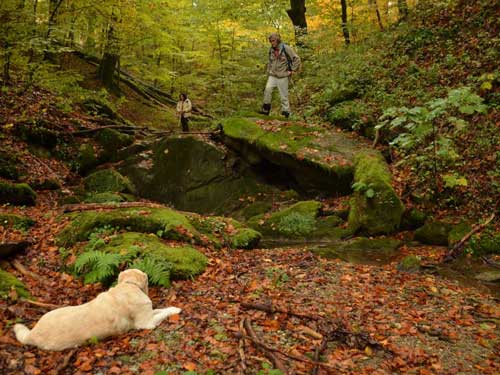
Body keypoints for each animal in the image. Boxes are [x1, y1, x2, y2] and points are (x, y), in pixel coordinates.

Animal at [12, 268, 182, 352]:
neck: (129, 284)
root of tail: (32, 334)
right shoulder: (146, 323)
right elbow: (162, 312)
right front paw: (176, 309)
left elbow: (160, 309)